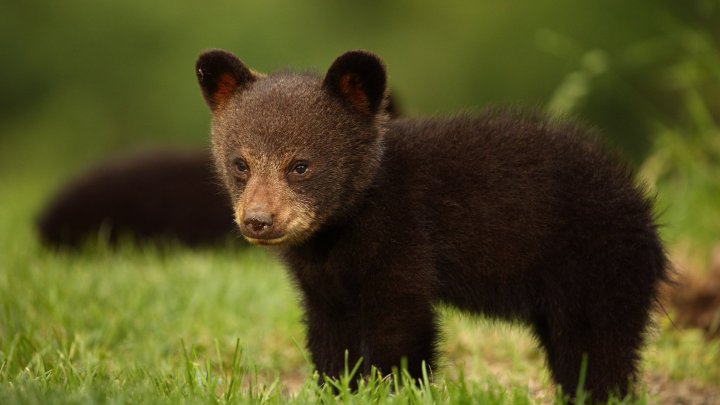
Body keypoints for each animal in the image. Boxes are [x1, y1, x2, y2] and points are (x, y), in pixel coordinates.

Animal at [195, 49, 668, 400]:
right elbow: (331, 338)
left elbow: (401, 328)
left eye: (300, 166)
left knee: (598, 349)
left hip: (596, 270)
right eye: (240, 163)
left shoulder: (403, 239)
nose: (258, 220)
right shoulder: (322, 282)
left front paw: (392, 389)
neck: (340, 230)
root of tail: (643, 209)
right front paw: (337, 387)